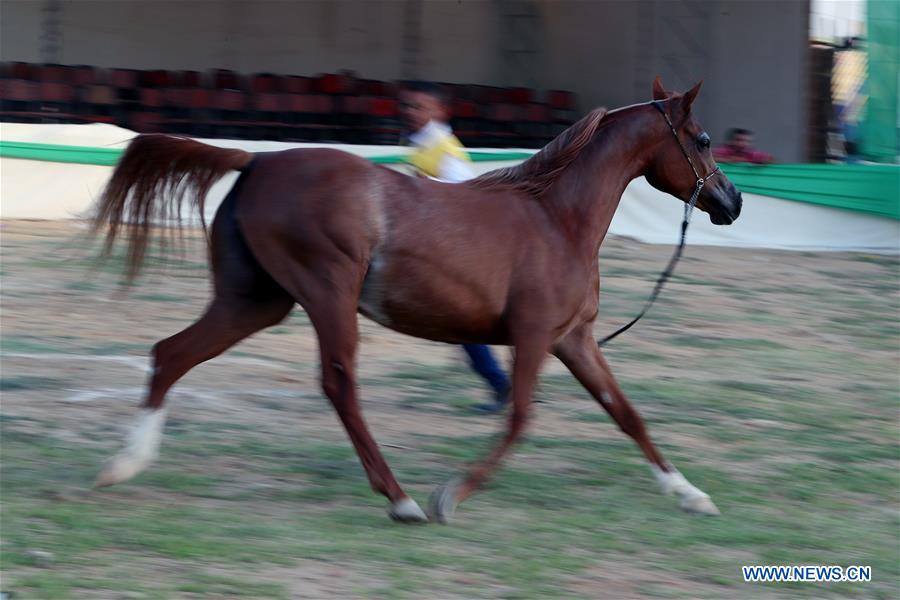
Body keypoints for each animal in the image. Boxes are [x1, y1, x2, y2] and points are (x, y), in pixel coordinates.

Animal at [91, 77, 741, 523]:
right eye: (704, 138)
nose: (732, 202)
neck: (557, 218)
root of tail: (260, 158)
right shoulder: (533, 336)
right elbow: (520, 417)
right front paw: (450, 495)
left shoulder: (573, 339)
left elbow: (626, 414)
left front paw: (690, 493)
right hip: (326, 292)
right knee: (339, 384)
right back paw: (401, 498)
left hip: (255, 301)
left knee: (172, 353)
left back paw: (123, 465)